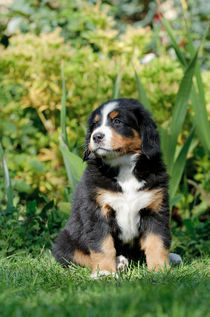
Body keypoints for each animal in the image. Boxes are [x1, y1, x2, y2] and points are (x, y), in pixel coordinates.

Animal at [52, 97, 171, 276]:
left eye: (117, 121)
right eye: (95, 125)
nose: (96, 137)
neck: (124, 167)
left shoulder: (155, 208)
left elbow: (157, 242)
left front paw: (160, 269)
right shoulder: (97, 210)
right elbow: (102, 246)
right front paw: (105, 272)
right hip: (65, 241)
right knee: (79, 257)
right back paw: (118, 263)